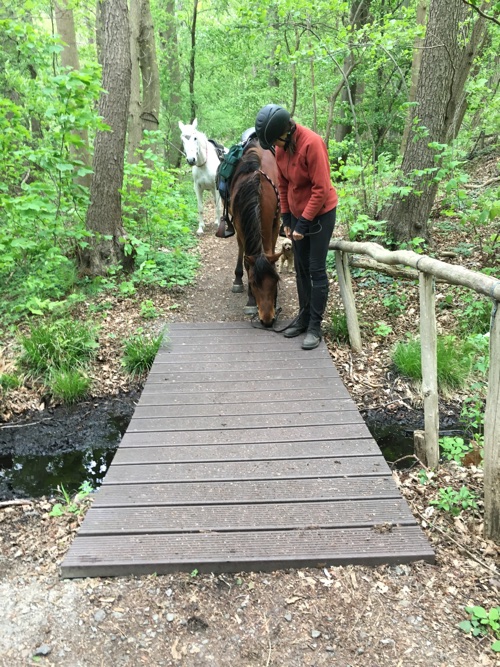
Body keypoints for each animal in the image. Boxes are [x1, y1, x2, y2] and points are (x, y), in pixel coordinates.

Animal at [230, 140, 282, 327]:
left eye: (276, 281)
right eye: (253, 283)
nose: (267, 320)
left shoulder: (276, 223)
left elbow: (272, 251)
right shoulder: (240, 225)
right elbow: (246, 259)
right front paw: (251, 302)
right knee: (240, 248)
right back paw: (237, 280)